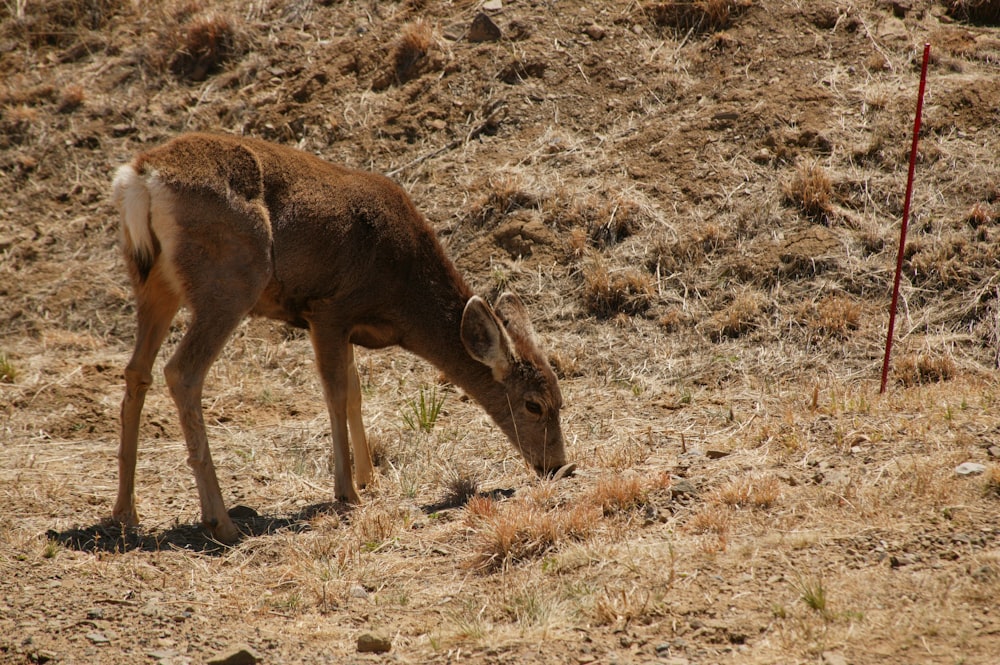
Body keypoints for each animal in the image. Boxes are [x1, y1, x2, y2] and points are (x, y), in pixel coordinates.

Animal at [109, 132, 572, 544]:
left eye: (560, 400)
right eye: (534, 404)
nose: (558, 466)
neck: (402, 293)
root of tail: (141, 174)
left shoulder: (347, 325)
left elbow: (354, 393)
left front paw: (370, 479)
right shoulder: (329, 308)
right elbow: (335, 394)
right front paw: (347, 492)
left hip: (153, 280)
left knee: (136, 371)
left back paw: (125, 513)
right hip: (230, 278)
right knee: (181, 371)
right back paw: (220, 522)